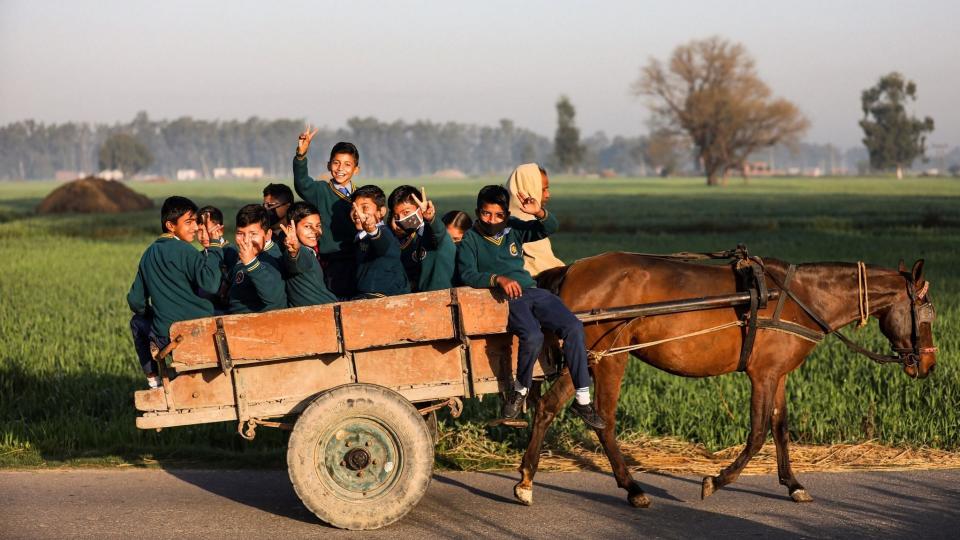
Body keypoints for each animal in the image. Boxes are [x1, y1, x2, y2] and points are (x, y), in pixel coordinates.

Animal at [516, 252, 936, 506]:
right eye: (927, 314)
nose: (929, 365)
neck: (798, 298)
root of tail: (572, 270)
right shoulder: (763, 375)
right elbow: (758, 433)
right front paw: (715, 481)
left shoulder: (778, 374)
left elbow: (780, 427)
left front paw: (793, 484)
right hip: (607, 358)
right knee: (603, 420)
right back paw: (632, 487)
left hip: (586, 358)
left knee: (548, 407)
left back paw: (526, 478)